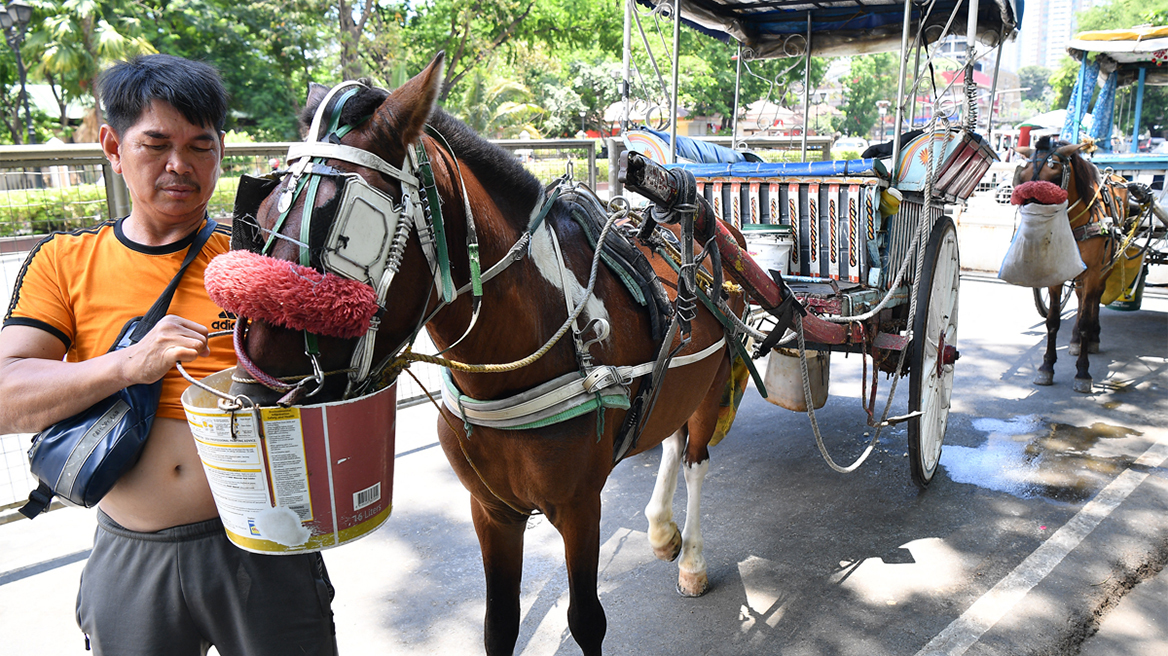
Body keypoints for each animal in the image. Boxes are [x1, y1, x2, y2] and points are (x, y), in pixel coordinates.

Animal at [218, 53, 742, 648]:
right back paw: (659, 529)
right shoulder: (491, 510)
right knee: (671, 433)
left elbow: (586, 620)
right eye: (257, 215)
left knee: (696, 457)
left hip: (714, 381)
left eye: (347, 235)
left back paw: (692, 559)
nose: (252, 395)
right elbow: (498, 624)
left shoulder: (580, 507)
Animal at [1013, 135, 1121, 389]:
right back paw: (1074, 341)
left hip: (1104, 270)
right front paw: (1046, 367)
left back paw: (1093, 337)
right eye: (1023, 177)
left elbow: (1084, 322)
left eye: (1054, 177)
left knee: (1094, 300)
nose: (1031, 226)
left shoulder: (1093, 272)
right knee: (1082, 299)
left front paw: (1083, 371)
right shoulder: (1057, 274)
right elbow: (1052, 321)